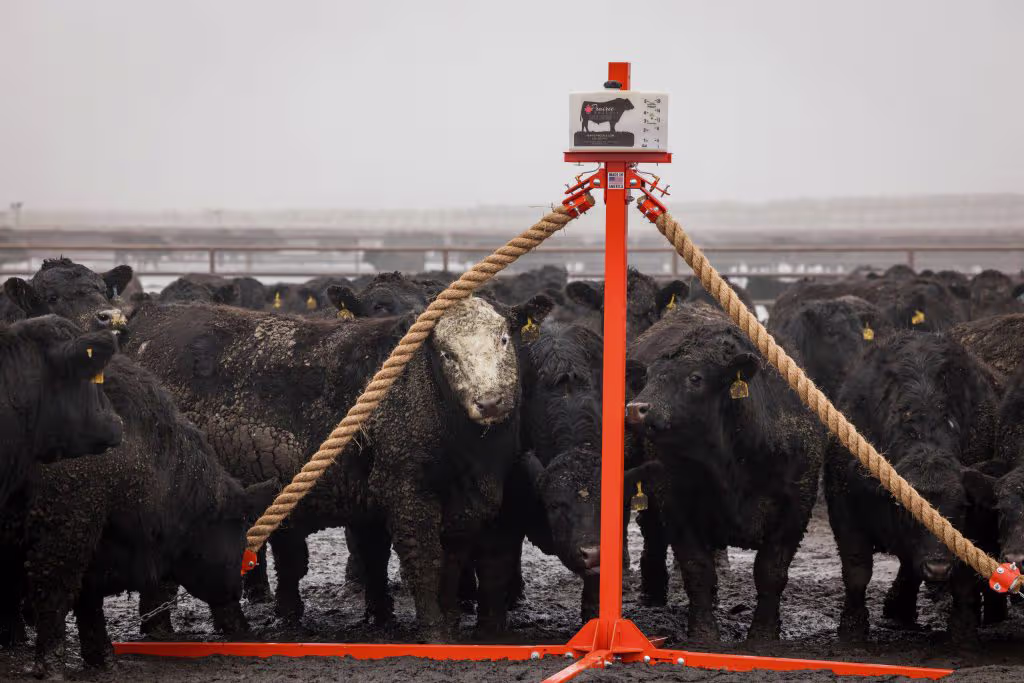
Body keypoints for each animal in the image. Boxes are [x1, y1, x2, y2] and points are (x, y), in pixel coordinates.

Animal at [126, 294, 552, 639]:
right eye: (446, 353)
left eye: (503, 339)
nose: (490, 400)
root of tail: (144, 321)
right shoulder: (406, 491)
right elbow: (424, 559)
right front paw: (435, 633)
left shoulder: (465, 504)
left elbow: (452, 559)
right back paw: (162, 631)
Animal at [625, 303, 825, 640]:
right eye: (648, 376)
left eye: (695, 377)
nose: (636, 408)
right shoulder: (675, 503)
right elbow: (697, 568)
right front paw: (703, 632)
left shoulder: (797, 504)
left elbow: (771, 571)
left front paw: (763, 634)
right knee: (653, 536)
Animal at [824, 332, 1000, 642]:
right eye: (909, 511)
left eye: (960, 508)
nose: (938, 567)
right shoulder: (846, 512)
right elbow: (857, 571)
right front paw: (852, 628)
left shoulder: (975, 524)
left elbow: (964, 575)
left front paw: (963, 629)